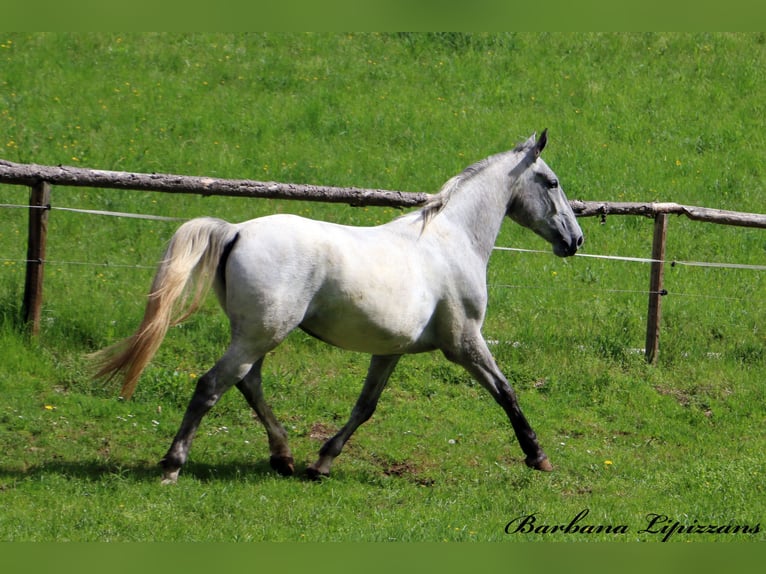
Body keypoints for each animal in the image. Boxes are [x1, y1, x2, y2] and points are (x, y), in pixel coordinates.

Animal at [93, 130, 584, 484]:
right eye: (553, 183)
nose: (575, 240)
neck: (450, 239)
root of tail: (235, 230)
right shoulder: (463, 341)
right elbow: (505, 391)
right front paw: (538, 456)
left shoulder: (389, 351)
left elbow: (365, 406)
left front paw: (322, 463)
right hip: (261, 334)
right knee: (212, 385)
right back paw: (173, 465)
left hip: (256, 334)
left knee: (248, 383)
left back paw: (285, 458)